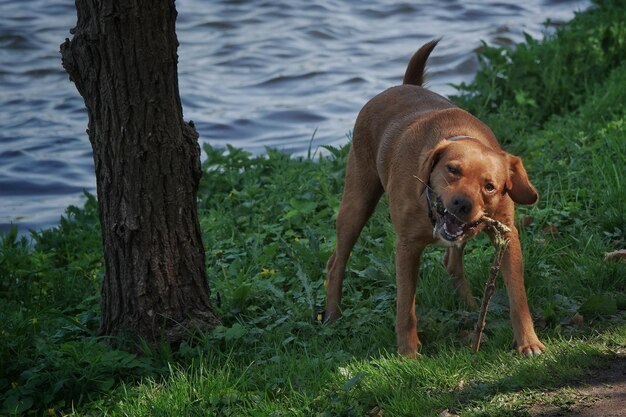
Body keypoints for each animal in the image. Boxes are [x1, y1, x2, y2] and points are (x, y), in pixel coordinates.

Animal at [324, 40, 544, 356]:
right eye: (452, 170)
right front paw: (408, 353)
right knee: (336, 263)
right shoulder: (406, 247)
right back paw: (332, 316)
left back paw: (470, 306)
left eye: (490, 186)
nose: (462, 204)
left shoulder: (507, 236)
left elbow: (518, 296)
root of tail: (404, 85)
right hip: (356, 203)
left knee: (452, 262)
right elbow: (406, 307)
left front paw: (528, 341)